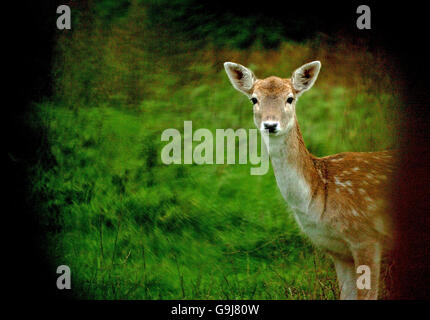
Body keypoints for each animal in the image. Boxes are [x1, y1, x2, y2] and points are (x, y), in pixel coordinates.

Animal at [225, 60, 396, 300]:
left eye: (290, 98)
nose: (270, 125)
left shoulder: (367, 237)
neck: (320, 192)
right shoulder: (337, 250)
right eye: (254, 99)